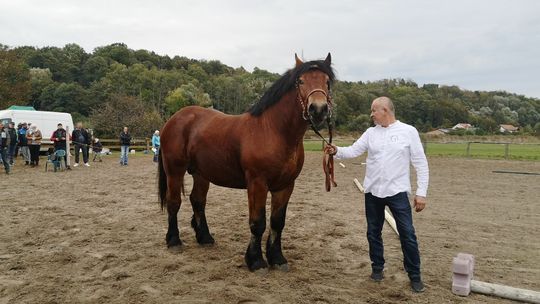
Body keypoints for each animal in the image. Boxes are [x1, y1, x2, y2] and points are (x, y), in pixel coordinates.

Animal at [157, 52, 334, 274]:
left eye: (327, 82)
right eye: (300, 81)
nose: (318, 109)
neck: (273, 130)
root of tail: (175, 119)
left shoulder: (285, 186)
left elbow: (277, 222)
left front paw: (277, 258)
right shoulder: (257, 184)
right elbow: (258, 222)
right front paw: (256, 261)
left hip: (201, 174)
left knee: (197, 201)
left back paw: (205, 237)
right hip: (174, 171)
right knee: (174, 202)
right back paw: (174, 241)